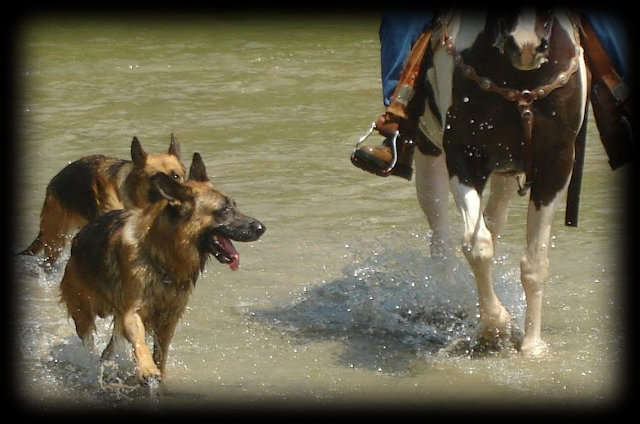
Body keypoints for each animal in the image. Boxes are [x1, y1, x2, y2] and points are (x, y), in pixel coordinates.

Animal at [57, 152, 262, 384]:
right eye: (225, 210)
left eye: (234, 205)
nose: (261, 228)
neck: (161, 257)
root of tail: (79, 238)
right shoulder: (132, 313)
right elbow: (140, 344)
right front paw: (147, 369)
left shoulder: (168, 321)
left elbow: (160, 354)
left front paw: (157, 373)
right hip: (83, 314)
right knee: (90, 345)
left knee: (108, 350)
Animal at [416, 8, 592, 356]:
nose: (525, 45)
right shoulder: (463, 156)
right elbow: (477, 246)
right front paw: (494, 327)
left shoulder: (556, 164)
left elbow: (534, 263)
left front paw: (532, 346)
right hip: (428, 148)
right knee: (441, 238)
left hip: (506, 172)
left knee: (493, 220)